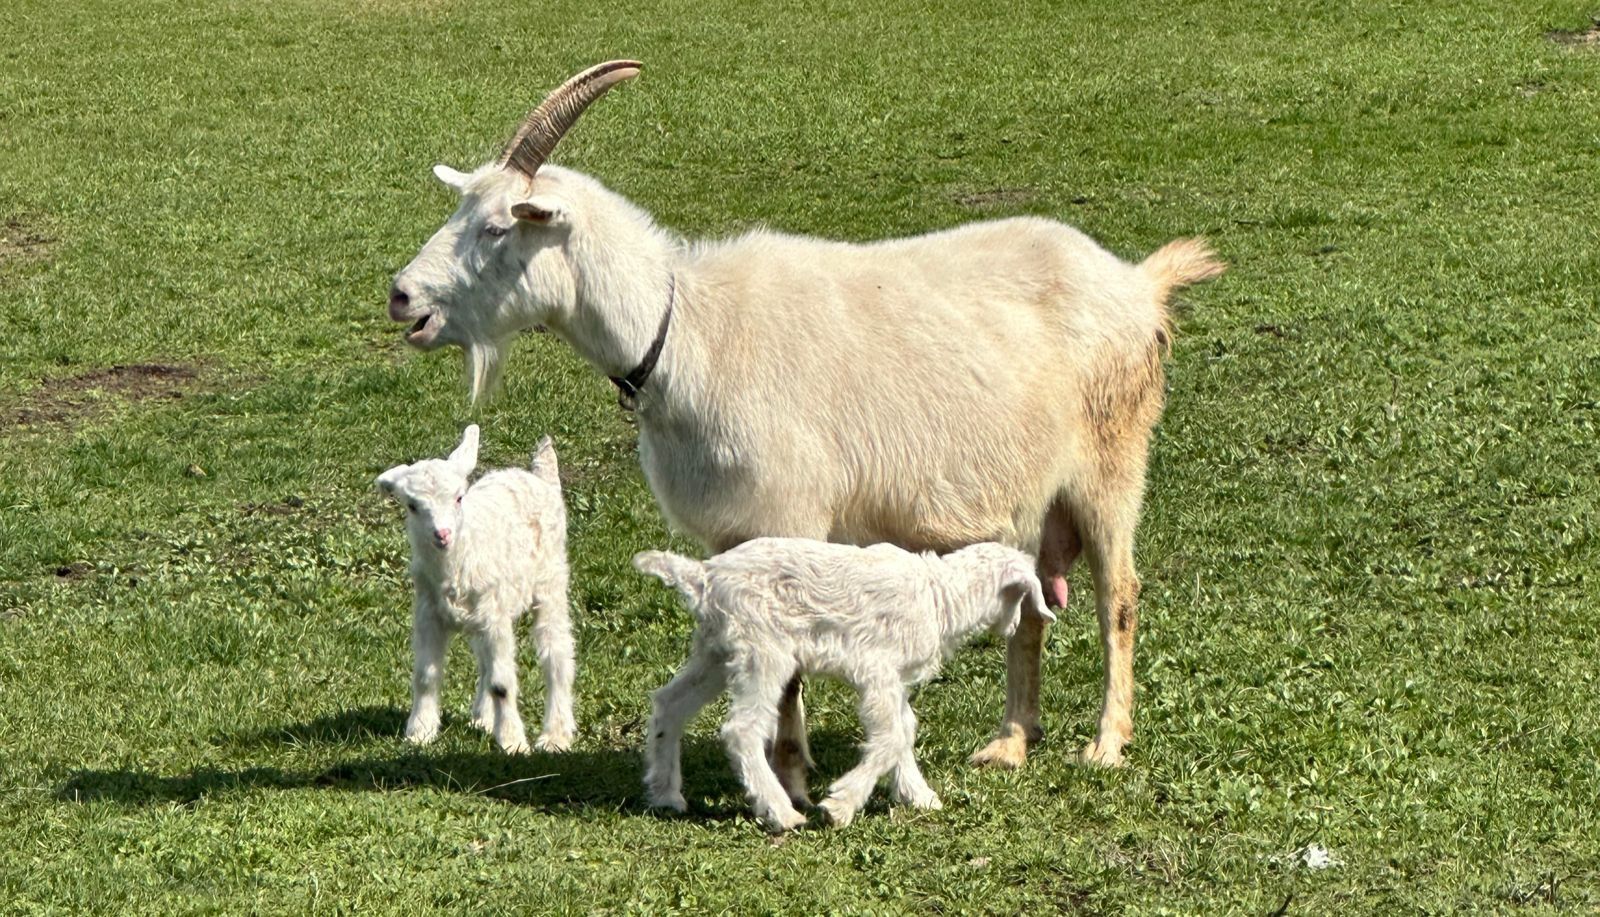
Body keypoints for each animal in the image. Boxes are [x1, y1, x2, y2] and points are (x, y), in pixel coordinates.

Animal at [387, 62, 1222, 793]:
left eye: (499, 227)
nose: (402, 297)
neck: (687, 329)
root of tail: (1137, 284)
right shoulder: (728, 533)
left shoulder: (787, 515)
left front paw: (788, 772)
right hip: (1033, 499)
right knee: (1032, 607)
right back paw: (1011, 742)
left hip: (1112, 461)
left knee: (1119, 593)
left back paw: (1107, 742)